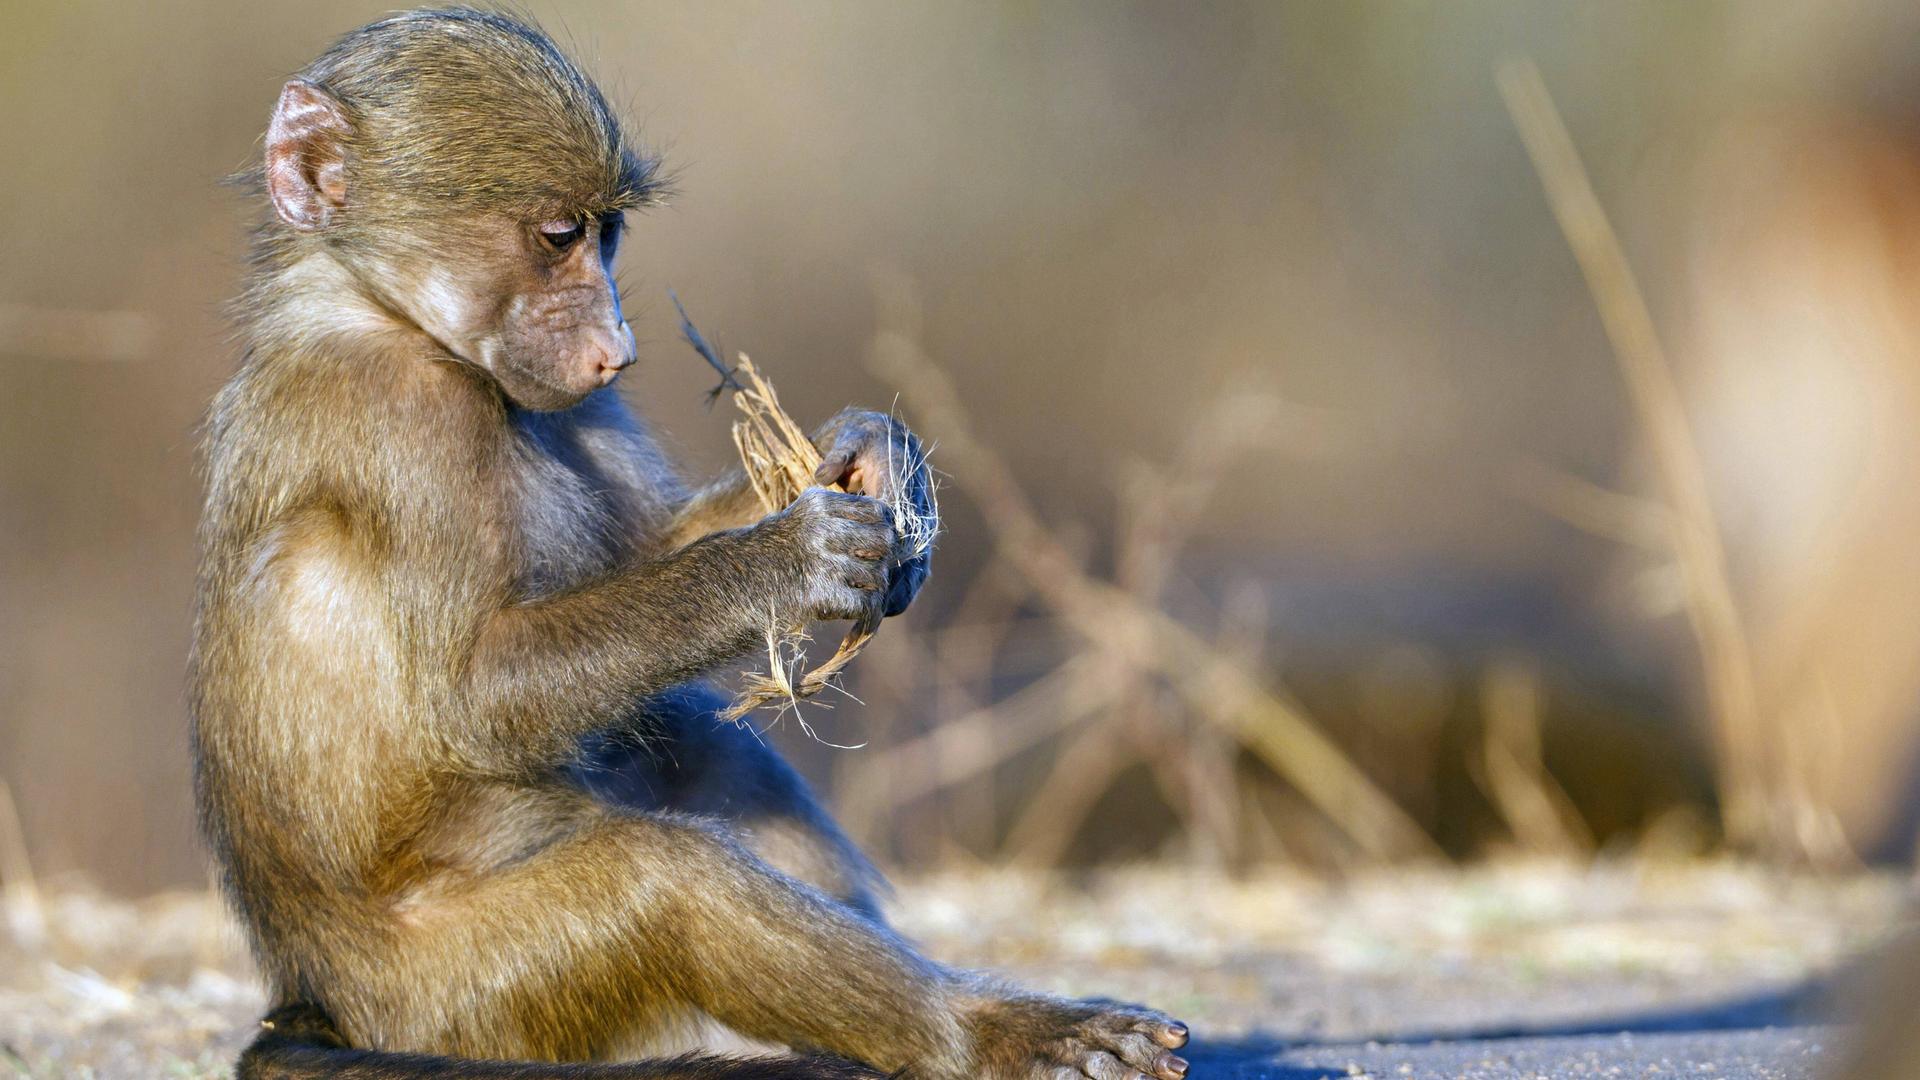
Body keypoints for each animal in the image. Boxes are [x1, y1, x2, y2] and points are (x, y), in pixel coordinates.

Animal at [191, 10, 1182, 1076]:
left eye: (607, 231)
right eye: (557, 235)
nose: (616, 352)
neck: (376, 310)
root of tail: (316, 999)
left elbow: (644, 557)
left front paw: (865, 454)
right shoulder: (398, 421)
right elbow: (472, 695)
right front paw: (785, 561)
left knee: (704, 747)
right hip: (466, 998)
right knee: (663, 879)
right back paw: (992, 1035)